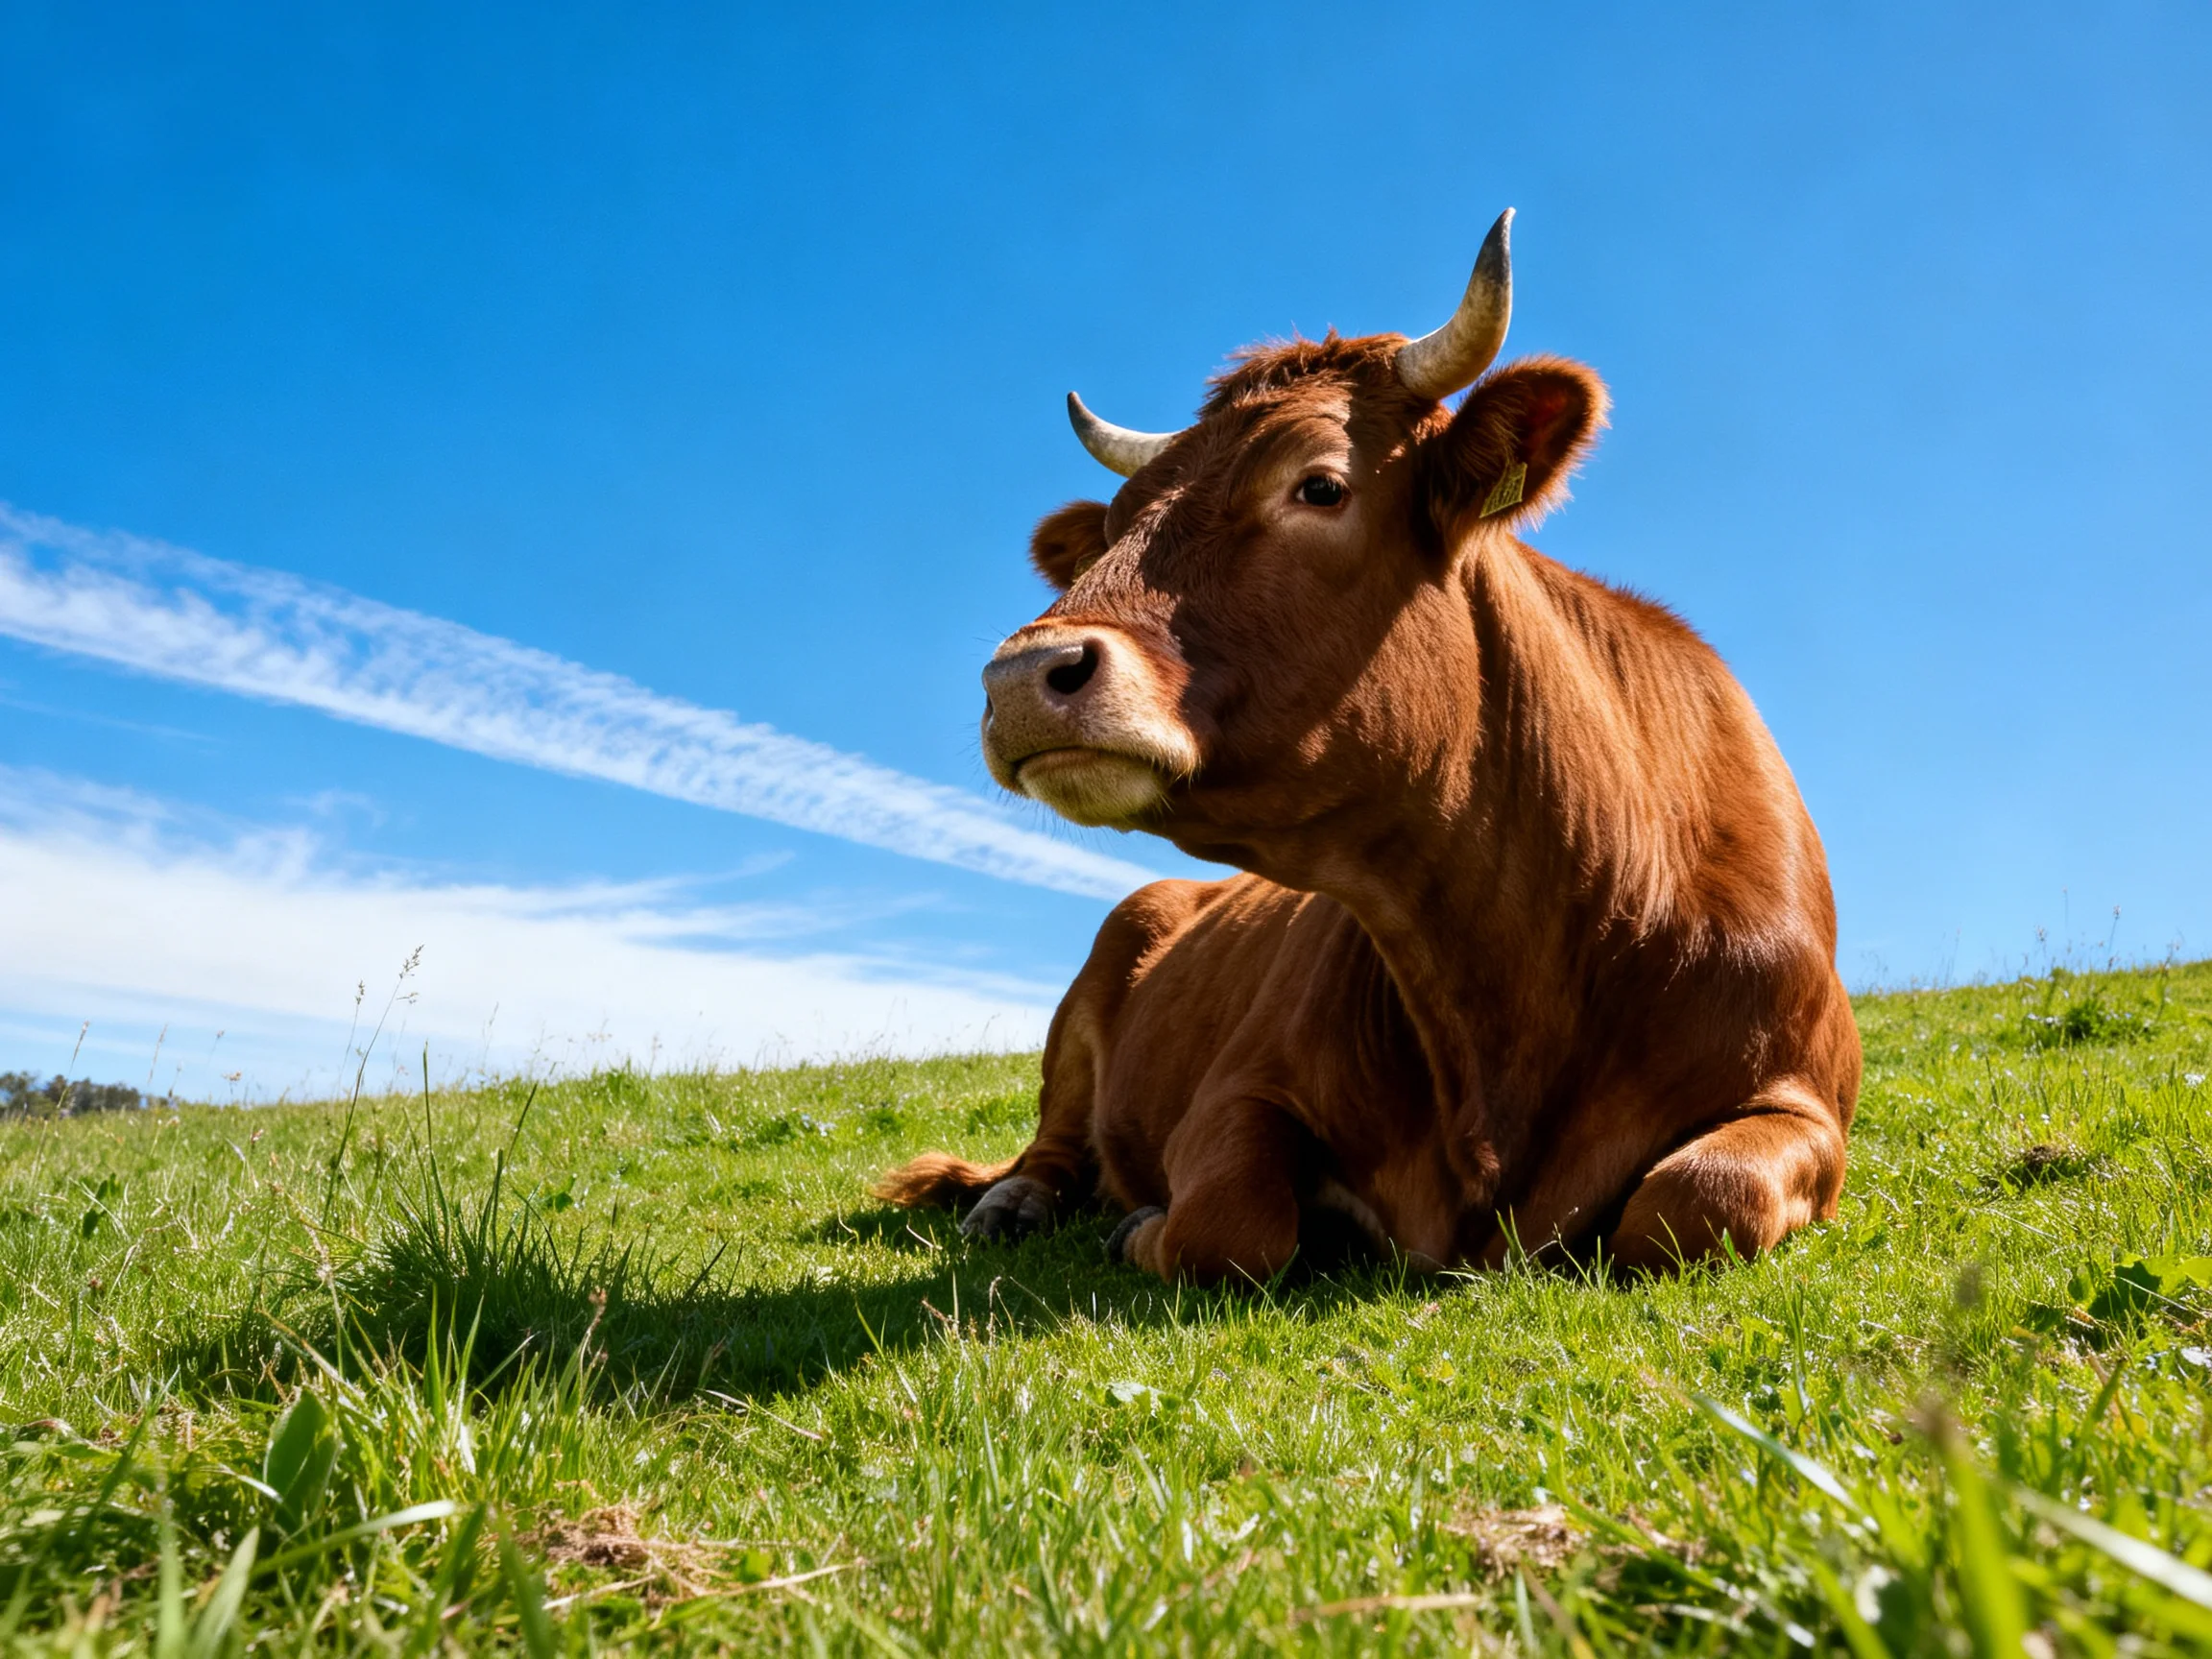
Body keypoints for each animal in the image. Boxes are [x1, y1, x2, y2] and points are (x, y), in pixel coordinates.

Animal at [878, 211, 1860, 1283]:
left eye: (1319, 486)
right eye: (1114, 525)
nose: (1022, 678)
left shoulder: (1804, 1100)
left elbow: (1700, 1197)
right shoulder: (1240, 1085)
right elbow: (1230, 1221)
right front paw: (1148, 1224)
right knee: (1052, 1146)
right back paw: (1015, 1203)